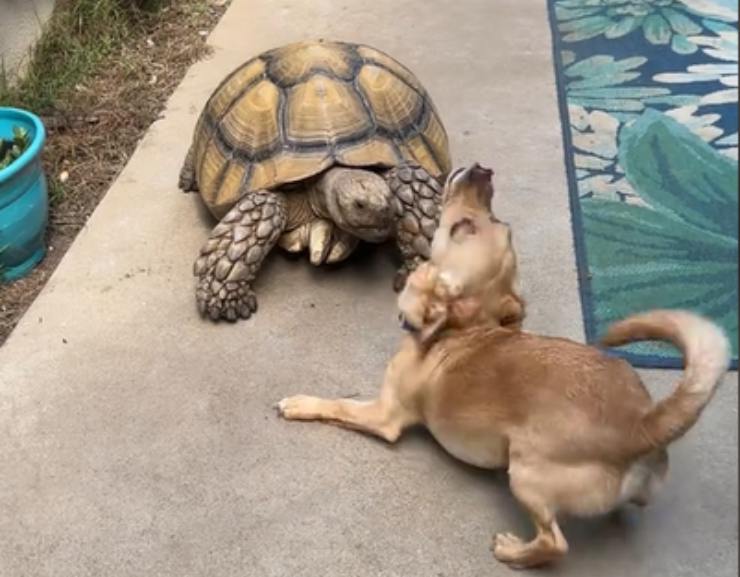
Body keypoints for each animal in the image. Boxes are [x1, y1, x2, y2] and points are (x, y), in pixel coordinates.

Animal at [276, 162, 728, 568]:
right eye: (497, 223)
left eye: (462, 228)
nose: (482, 171)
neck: (463, 328)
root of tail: (642, 423)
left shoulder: (385, 415)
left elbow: (337, 404)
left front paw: (299, 403)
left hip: (524, 470)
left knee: (554, 543)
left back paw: (514, 552)